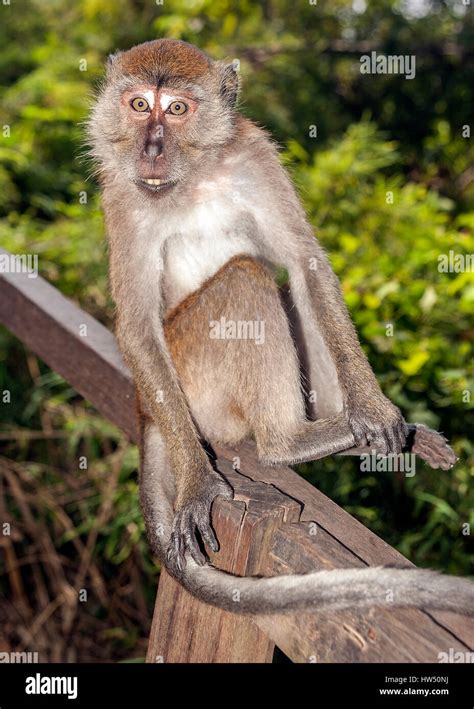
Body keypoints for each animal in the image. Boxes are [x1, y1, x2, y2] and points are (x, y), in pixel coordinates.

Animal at [88, 39, 473, 616]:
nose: (150, 150)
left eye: (176, 109)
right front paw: (197, 481)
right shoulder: (123, 193)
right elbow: (135, 324)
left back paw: (347, 431)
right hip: (193, 384)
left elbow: (305, 262)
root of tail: (145, 409)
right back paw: (285, 444)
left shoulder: (255, 157)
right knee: (245, 279)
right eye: (138, 105)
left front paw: (373, 409)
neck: (194, 177)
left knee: (292, 291)